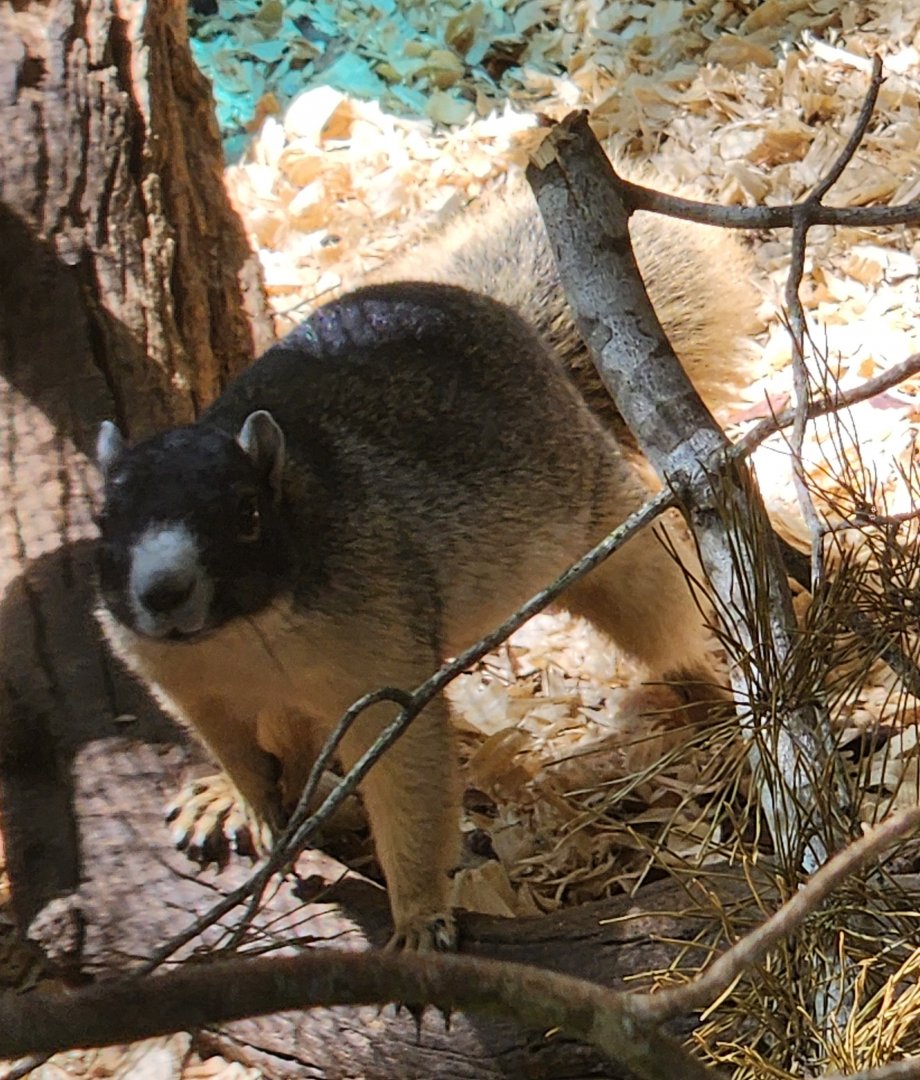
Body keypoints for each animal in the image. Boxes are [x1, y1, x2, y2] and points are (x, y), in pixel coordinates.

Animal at [94, 174, 759, 951]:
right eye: (103, 520)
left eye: (247, 515)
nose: (163, 592)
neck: (238, 637)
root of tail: (520, 332)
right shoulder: (188, 686)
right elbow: (237, 749)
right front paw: (242, 800)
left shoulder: (377, 661)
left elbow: (408, 783)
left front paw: (417, 917)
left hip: (614, 544)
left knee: (669, 620)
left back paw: (711, 702)